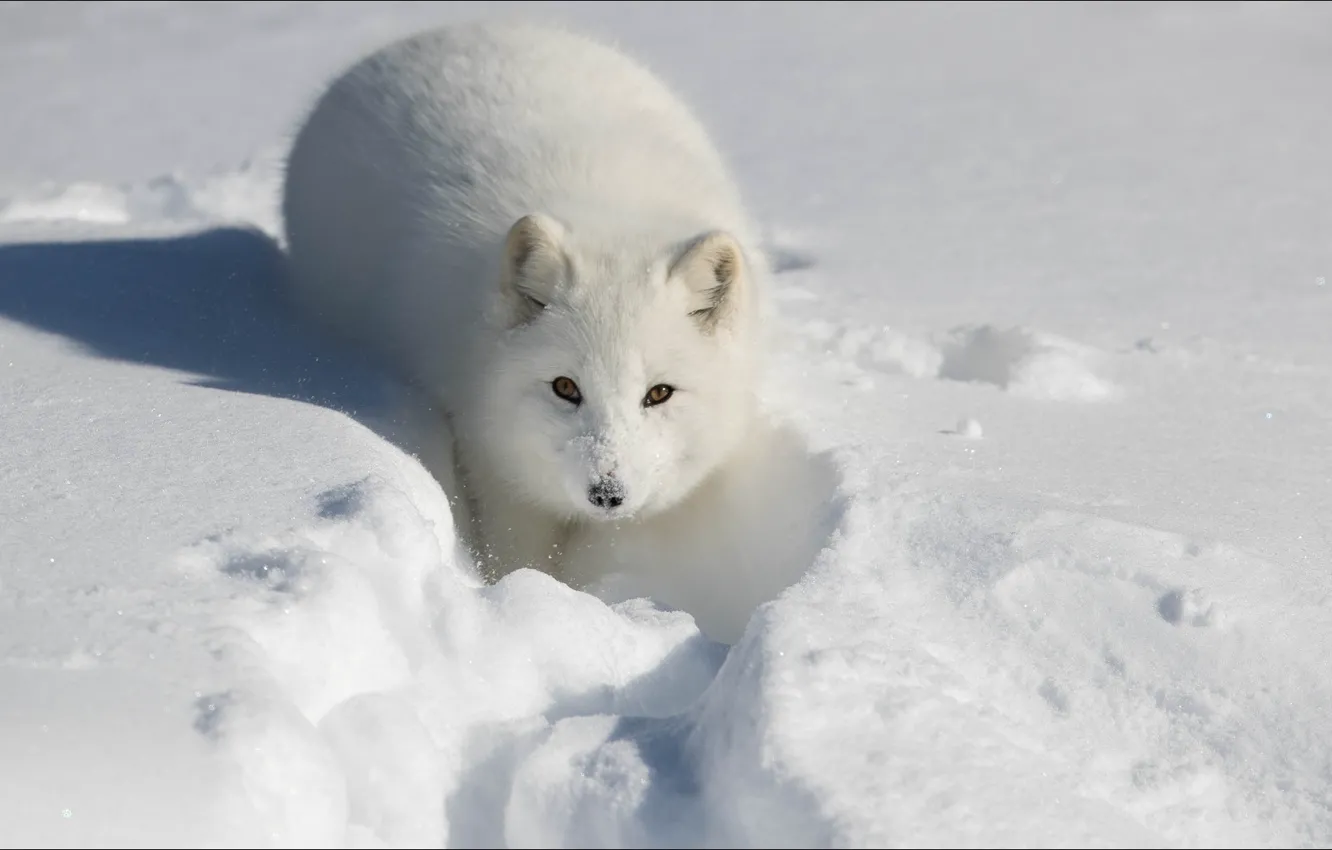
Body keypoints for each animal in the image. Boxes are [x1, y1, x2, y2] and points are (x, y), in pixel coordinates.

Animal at [280, 19, 770, 582]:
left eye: (659, 393)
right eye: (565, 388)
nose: (607, 494)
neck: (608, 211)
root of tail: (442, 31)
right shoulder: (490, 453)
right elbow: (517, 552)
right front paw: (518, 589)